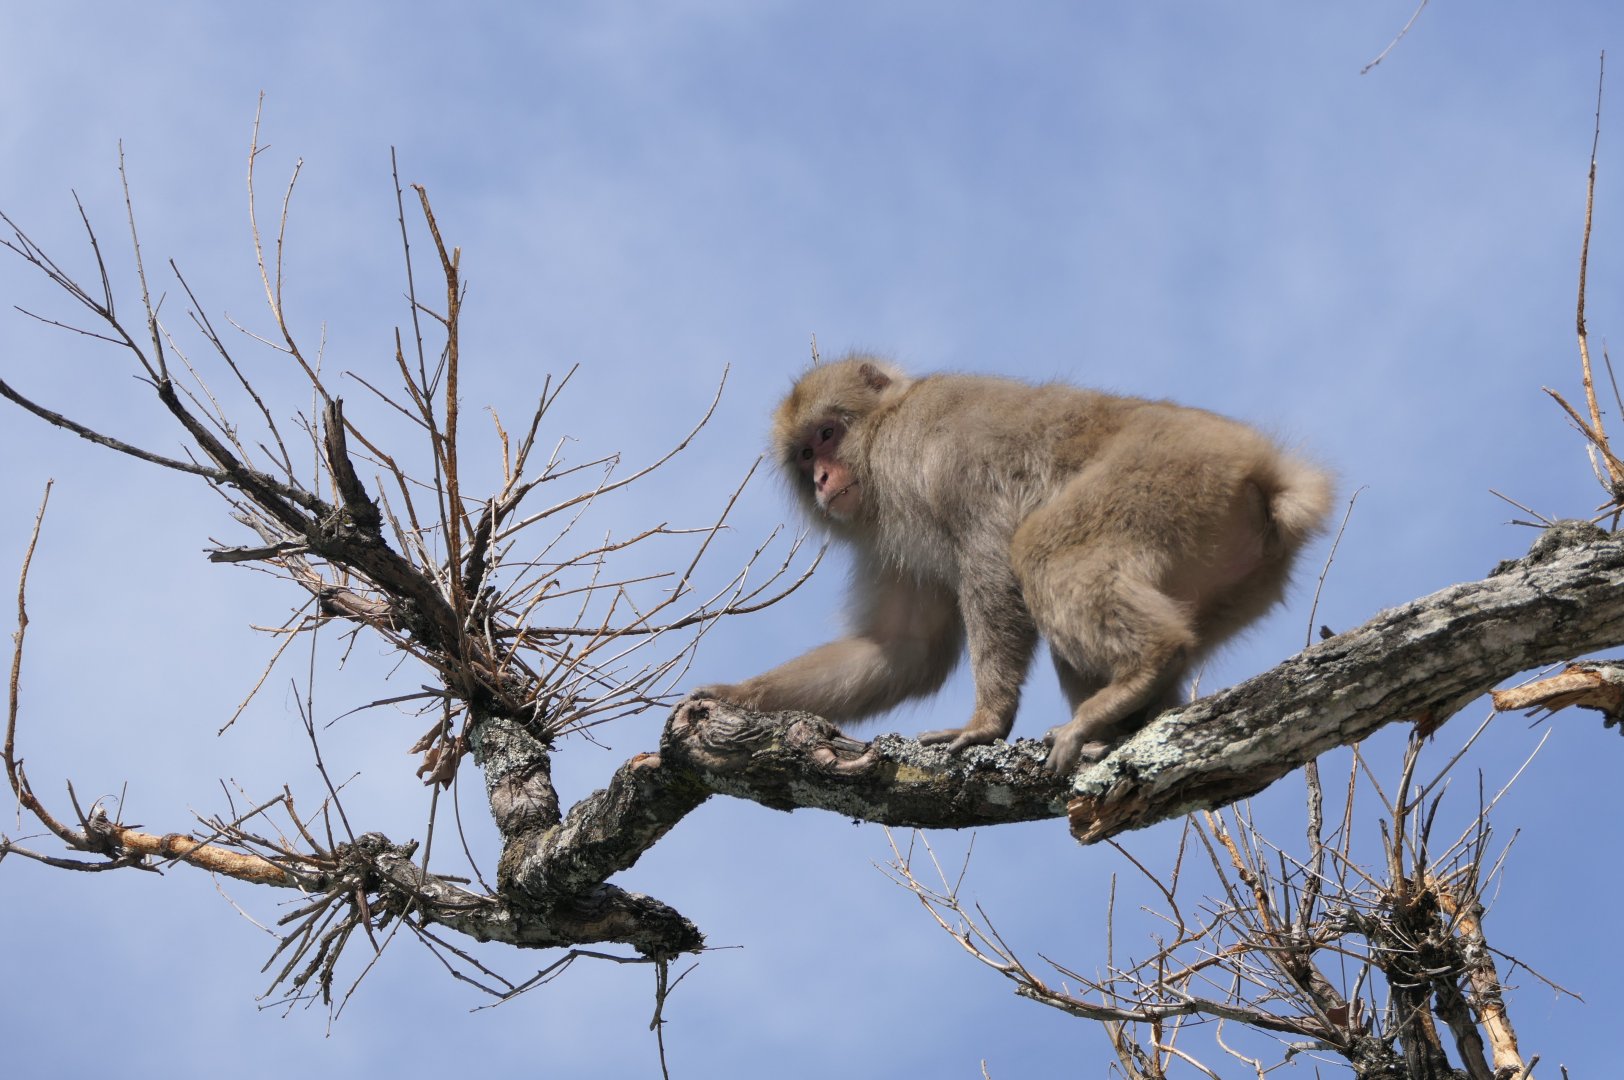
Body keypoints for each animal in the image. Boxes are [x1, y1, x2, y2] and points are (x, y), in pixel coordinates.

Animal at [694, 354, 1332, 775]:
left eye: (828, 433)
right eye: (806, 454)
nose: (823, 479)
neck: (884, 427)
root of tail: (1263, 468)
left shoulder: (922, 452)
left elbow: (992, 556)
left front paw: (987, 723)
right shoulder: (887, 537)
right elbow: (905, 648)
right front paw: (735, 696)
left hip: (1168, 476)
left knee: (1039, 550)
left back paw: (1144, 668)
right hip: (1239, 577)